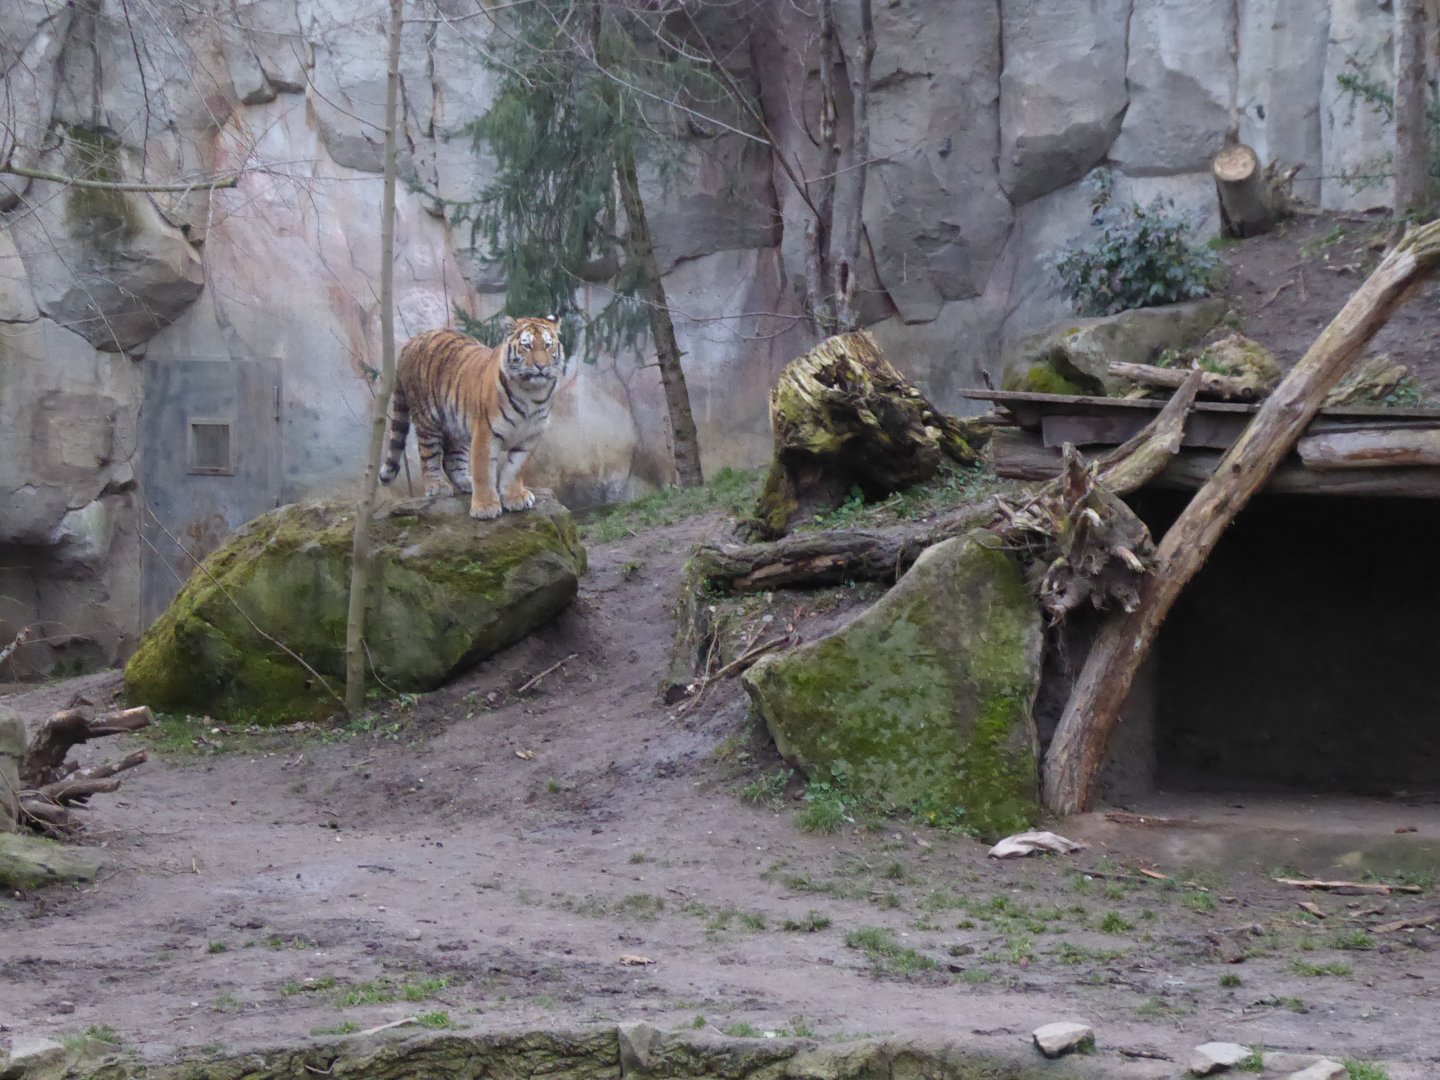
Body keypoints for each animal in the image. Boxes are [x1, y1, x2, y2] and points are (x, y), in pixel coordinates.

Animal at [378, 317, 563, 520]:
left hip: (457, 427)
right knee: (429, 456)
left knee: (451, 460)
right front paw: (485, 507)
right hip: (428, 420)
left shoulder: (530, 438)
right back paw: (437, 486)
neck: (531, 393)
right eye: (527, 346)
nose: (541, 366)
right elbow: (483, 471)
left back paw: (466, 482)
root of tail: (413, 340)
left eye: (547, 345)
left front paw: (515, 498)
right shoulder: (486, 432)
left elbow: (515, 469)